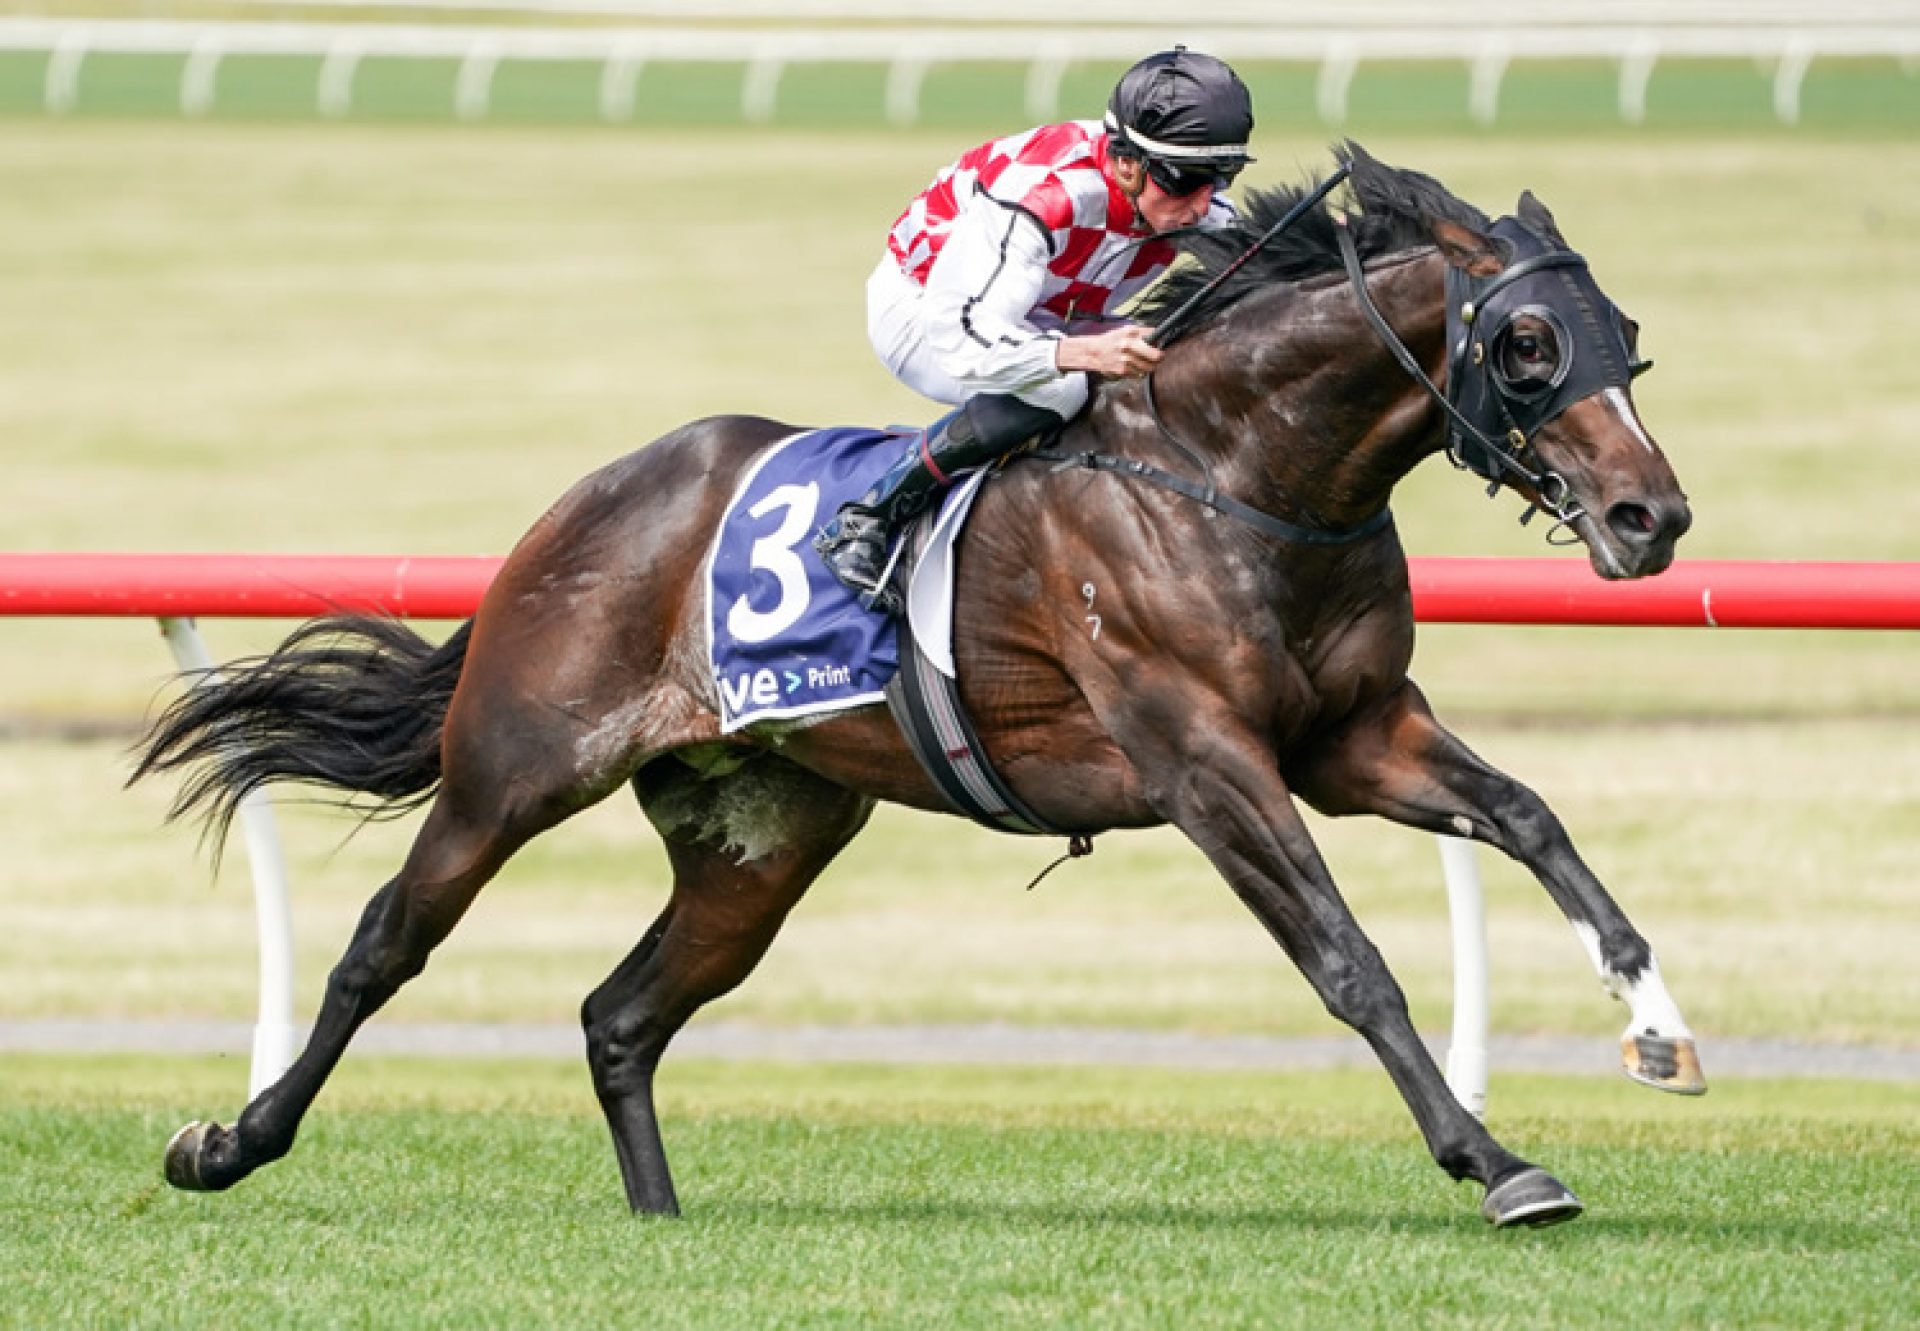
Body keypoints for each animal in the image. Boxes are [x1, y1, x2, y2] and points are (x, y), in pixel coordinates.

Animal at [135, 143, 1697, 1221]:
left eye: (1628, 335)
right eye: (1528, 343)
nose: (1652, 517)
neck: (1234, 469)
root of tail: (579, 507)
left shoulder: (1356, 733)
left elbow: (1532, 816)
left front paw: (1657, 1023)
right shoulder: (1204, 759)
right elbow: (1349, 958)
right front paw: (1494, 1158)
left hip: (764, 833)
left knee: (621, 1013)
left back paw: (658, 1219)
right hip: (515, 768)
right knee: (380, 946)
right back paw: (228, 1141)